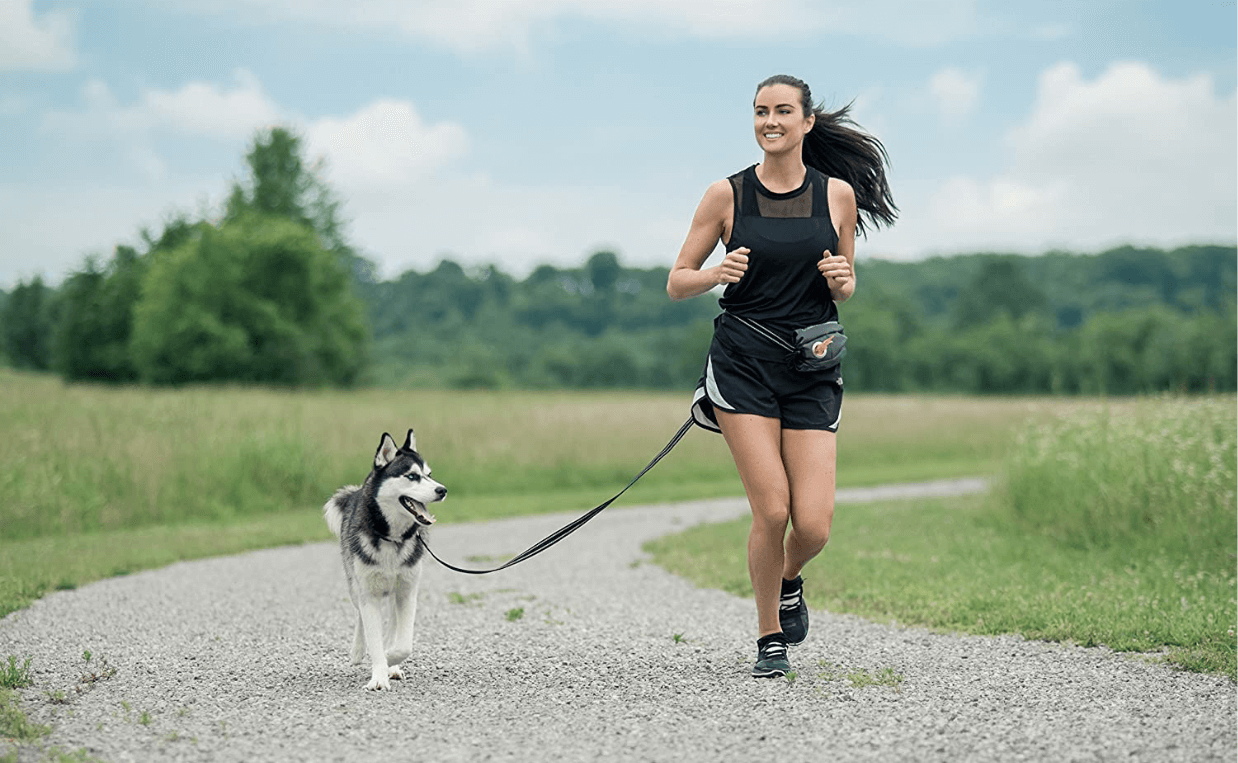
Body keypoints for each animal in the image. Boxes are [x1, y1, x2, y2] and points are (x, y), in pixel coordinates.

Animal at [324, 428, 450, 693]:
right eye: (412, 476)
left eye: (429, 475)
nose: (442, 490)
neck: (392, 538)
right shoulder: (368, 594)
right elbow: (373, 635)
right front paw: (378, 675)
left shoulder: (407, 592)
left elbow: (403, 644)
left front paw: (390, 659)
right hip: (355, 587)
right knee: (360, 616)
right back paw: (358, 651)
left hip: (394, 594)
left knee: (393, 625)